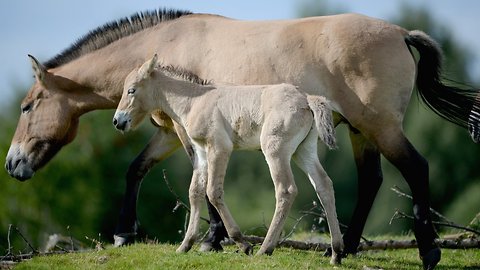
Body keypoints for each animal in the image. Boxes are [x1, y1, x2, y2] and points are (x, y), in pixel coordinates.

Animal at [112, 54, 344, 264]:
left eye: (131, 90)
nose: (117, 121)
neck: (195, 100)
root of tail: (307, 98)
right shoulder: (201, 153)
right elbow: (195, 192)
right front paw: (185, 245)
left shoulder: (219, 148)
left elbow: (213, 192)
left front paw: (243, 243)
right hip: (303, 151)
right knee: (324, 185)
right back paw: (336, 253)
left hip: (275, 150)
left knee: (286, 190)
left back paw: (265, 248)